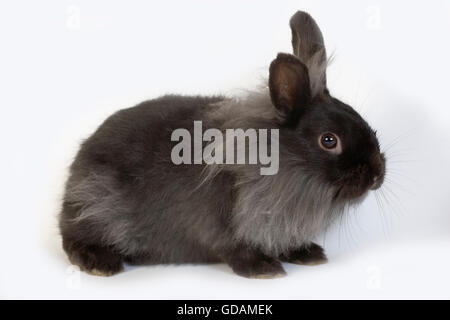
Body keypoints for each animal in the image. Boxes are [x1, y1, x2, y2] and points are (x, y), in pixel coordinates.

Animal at [58, 11, 384, 278]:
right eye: (329, 140)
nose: (377, 175)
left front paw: (309, 254)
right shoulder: (222, 227)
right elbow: (236, 250)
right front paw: (264, 269)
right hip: (97, 201)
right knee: (72, 236)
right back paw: (100, 263)